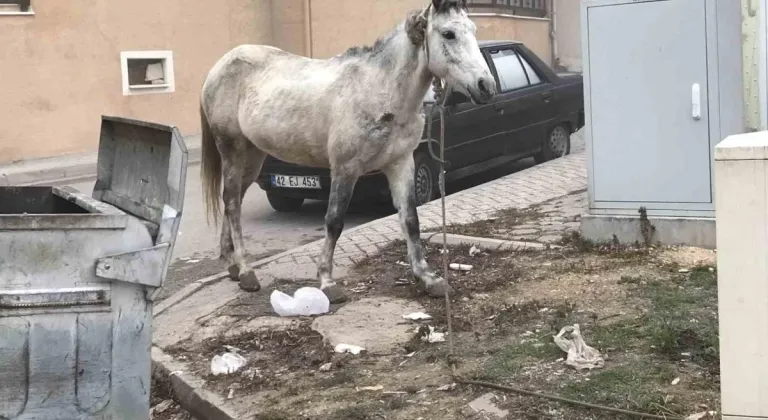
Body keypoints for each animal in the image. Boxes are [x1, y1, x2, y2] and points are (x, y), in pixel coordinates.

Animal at [201, 0, 496, 302]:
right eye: (449, 34)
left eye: (473, 29)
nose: (486, 85)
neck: (381, 90)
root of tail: (220, 67)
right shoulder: (345, 168)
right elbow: (334, 221)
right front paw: (327, 282)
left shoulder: (401, 163)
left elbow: (410, 219)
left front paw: (428, 278)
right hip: (232, 149)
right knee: (232, 203)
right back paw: (247, 272)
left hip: (253, 156)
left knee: (233, 199)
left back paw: (233, 266)